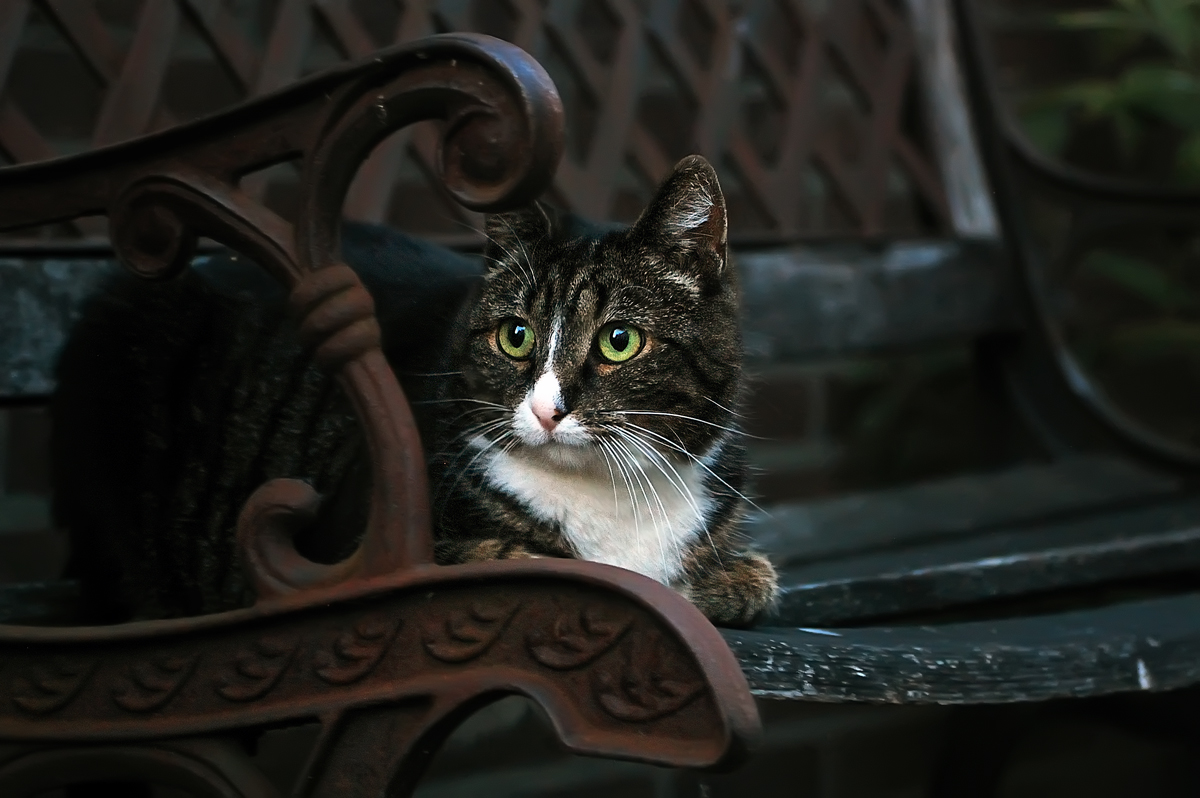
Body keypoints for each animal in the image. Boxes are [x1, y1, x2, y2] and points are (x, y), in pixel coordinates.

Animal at [51, 153, 777, 624]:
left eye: (618, 341)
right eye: (516, 336)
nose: (546, 411)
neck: (610, 500)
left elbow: (752, 577)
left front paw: (727, 576)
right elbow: (509, 558)